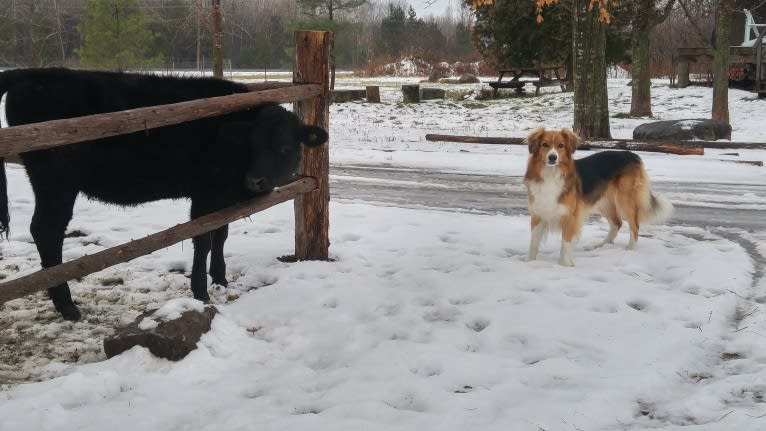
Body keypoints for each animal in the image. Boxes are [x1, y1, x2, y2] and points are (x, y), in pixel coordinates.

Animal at [0, 68, 328, 320]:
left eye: (285, 146)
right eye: (252, 144)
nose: (255, 180)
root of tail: (34, 73)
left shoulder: (223, 198)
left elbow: (221, 234)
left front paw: (220, 278)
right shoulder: (205, 194)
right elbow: (203, 239)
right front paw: (201, 292)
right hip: (55, 180)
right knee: (46, 230)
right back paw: (67, 306)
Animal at [524, 126, 676, 264]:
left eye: (561, 146)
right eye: (545, 145)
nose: (552, 157)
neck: (551, 174)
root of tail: (633, 154)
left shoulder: (570, 217)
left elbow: (565, 244)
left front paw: (565, 265)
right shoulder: (538, 214)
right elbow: (533, 243)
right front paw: (529, 262)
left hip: (624, 200)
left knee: (634, 225)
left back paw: (630, 249)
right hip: (604, 202)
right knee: (617, 223)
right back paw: (602, 246)